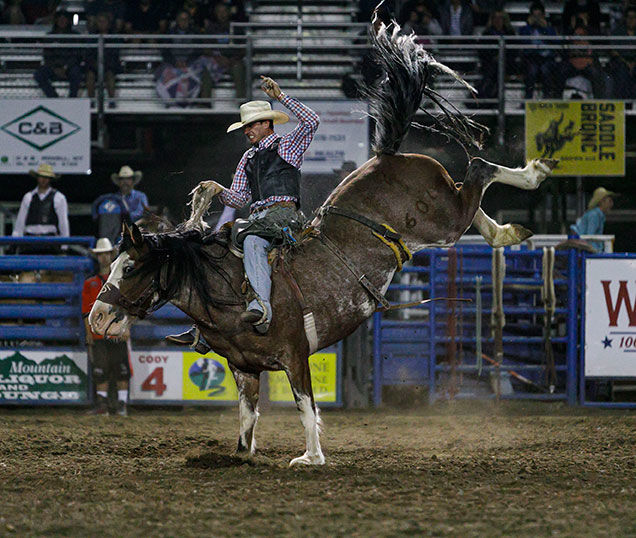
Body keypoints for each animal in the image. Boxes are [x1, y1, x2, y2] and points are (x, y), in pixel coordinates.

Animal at [88, 11, 556, 464]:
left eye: (130, 267)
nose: (97, 318)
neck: (227, 293)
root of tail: (386, 156)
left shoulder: (295, 354)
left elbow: (305, 407)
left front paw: (311, 457)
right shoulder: (243, 368)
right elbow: (247, 418)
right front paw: (244, 454)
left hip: (440, 220)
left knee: (477, 169)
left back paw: (534, 174)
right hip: (441, 216)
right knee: (472, 197)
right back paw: (507, 231)